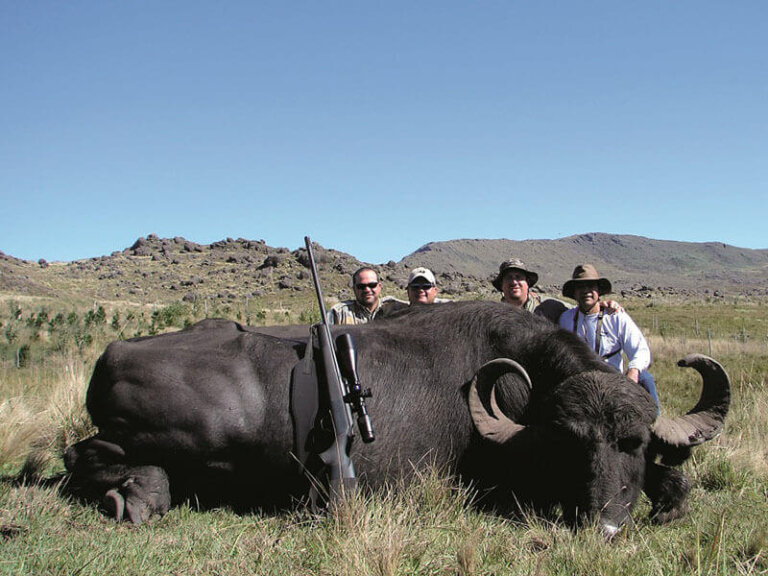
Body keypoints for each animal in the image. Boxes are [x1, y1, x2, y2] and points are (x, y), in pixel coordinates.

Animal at [63, 301, 729, 536]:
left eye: (633, 443)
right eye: (572, 443)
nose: (605, 523)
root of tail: (114, 352)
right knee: (86, 456)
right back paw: (138, 496)